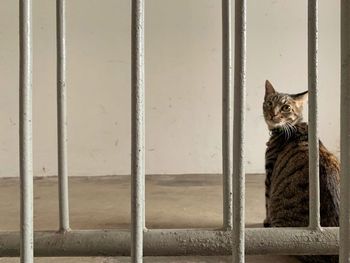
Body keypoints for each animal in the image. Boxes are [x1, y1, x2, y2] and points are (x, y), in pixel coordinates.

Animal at [262, 80, 340, 263]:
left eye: (286, 108)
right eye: (269, 103)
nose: (273, 114)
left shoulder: (269, 172)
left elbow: (267, 202)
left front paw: (266, 222)